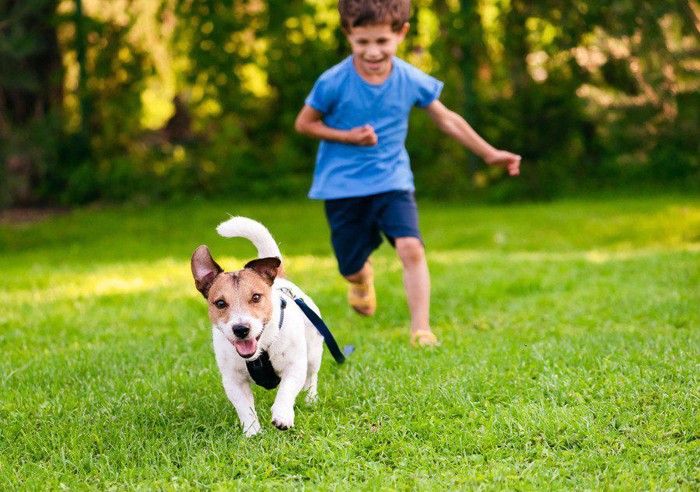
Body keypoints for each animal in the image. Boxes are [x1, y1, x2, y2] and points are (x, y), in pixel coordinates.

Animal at [190, 217, 324, 436]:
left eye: (255, 297)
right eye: (220, 303)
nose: (241, 329)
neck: (260, 351)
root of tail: (280, 279)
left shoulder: (294, 366)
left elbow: (286, 390)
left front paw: (282, 415)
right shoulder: (233, 381)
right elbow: (245, 407)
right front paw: (252, 432)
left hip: (313, 353)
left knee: (311, 377)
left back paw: (310, 399)